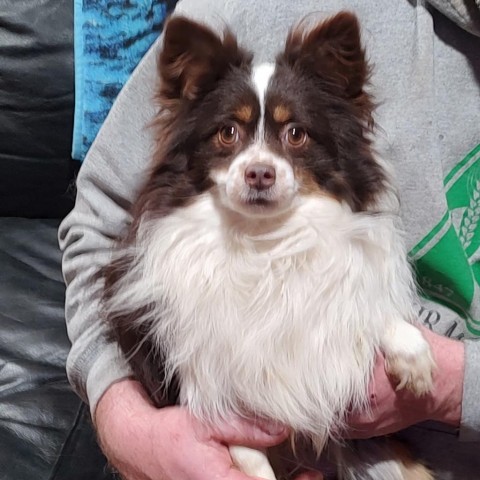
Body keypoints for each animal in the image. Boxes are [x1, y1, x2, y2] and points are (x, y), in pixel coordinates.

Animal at [103, 12, 436, 480]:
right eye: (227, 132)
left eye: (296, 133)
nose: (259, 173)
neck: (263, 240)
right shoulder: (212, 392)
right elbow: (250, 460)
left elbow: (360, 304)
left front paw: (411, 350)